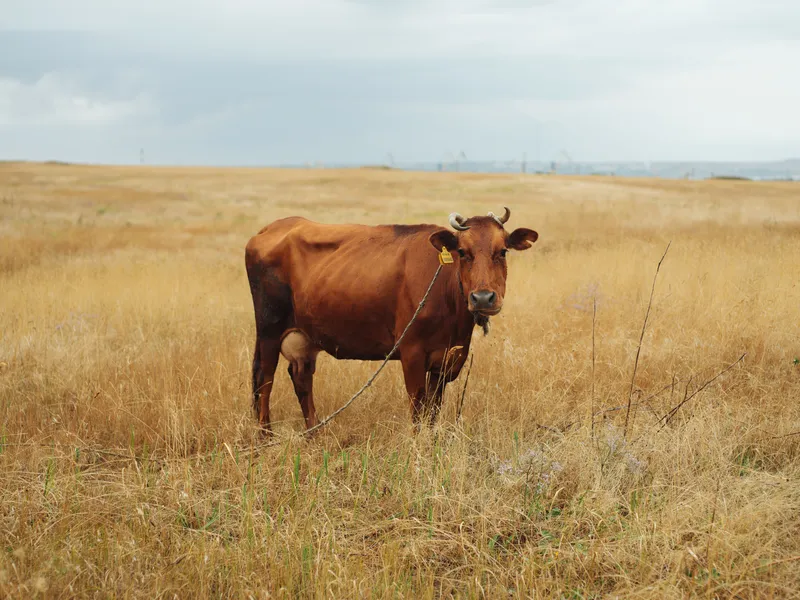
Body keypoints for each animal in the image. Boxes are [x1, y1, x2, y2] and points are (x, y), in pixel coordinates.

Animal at [244, 207, 538, 434]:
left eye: (503, 251)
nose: (483, 298)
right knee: (264, 378)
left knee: (301, 378)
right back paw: (265, 437)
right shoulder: (412, 353)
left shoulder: (447, 359)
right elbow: (418, 409)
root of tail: (272, 228)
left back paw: (314, 433)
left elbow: (433, 410)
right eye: (463, 252)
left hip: (304, 336)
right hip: (269, 329)